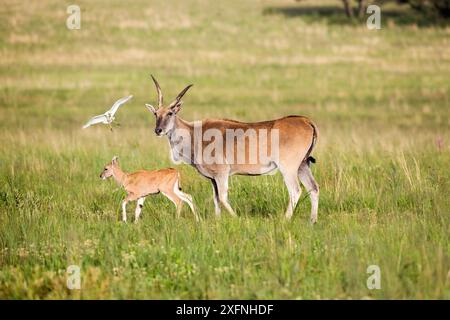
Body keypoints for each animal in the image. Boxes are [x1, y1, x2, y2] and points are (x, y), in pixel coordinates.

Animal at [145, 76, 320, 224]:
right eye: (156, 114)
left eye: (170, 113)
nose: (158, 130)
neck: (195, 134)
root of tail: (306, 121)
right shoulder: (213, 179)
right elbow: (216, 199)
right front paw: (218, 221)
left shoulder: (222, 173)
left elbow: (223, 198)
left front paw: (237, 218)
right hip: (303, 166)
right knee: (313, 188)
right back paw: (312, 221)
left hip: (288, 168)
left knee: (295, 190)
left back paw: (285, 220)